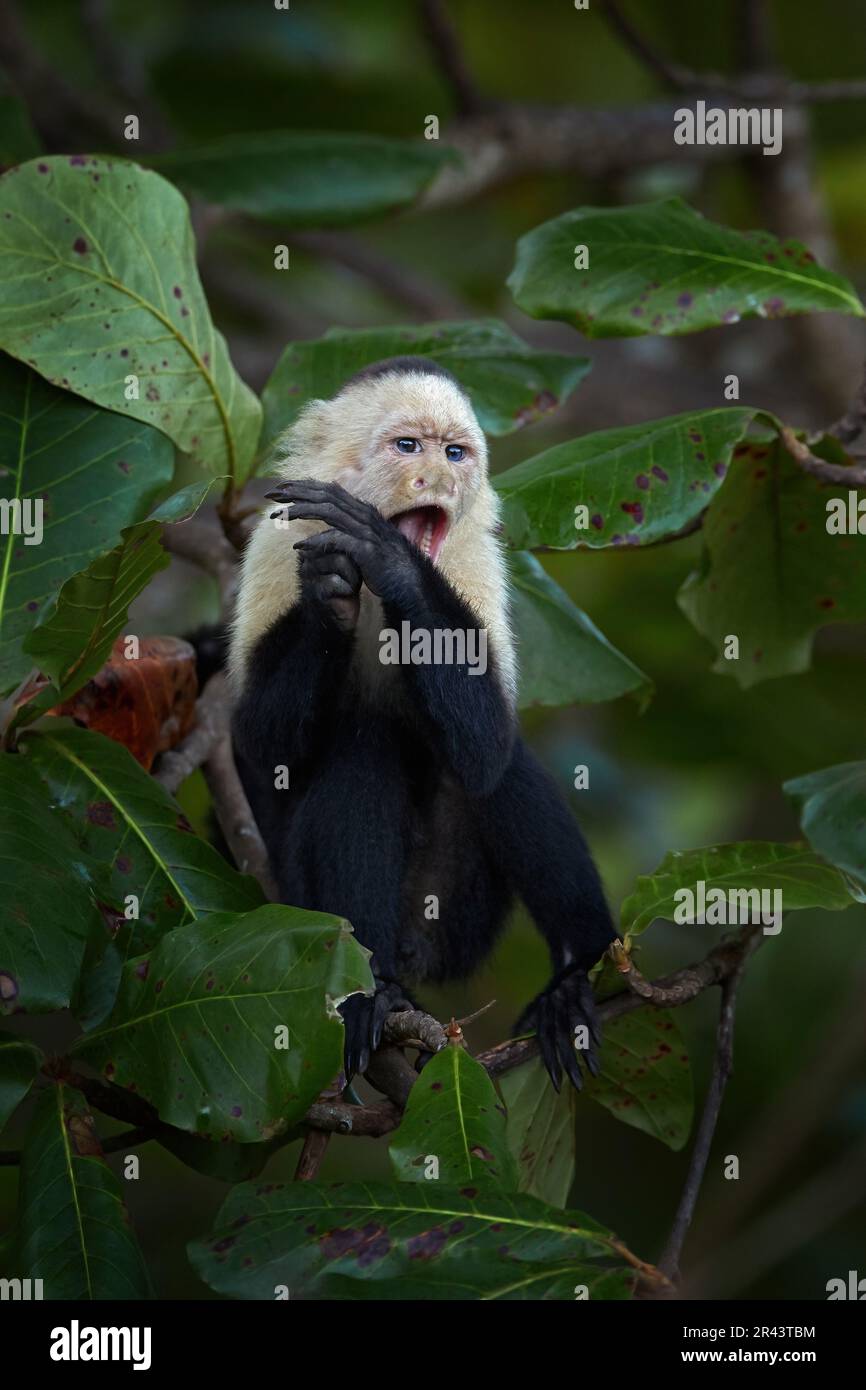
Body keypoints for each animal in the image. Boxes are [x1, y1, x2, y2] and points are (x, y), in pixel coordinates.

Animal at [228, 357, 617, 1090]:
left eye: (455, 453)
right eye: (409, 447)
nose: (438, 477)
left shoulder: (473, 562)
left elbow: (488, 744)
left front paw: (390, 559)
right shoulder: (274, 540)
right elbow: (263, 750)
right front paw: (330, 592)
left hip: (459, 919)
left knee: (498, 768)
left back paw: (579, 973)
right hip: (305, 898)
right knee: (362, 750)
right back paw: (370, 991)